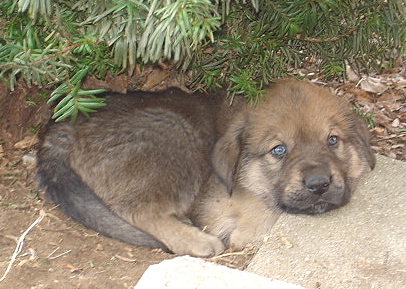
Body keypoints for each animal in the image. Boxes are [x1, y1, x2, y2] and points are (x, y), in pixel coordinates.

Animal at [36, 79, 376, 256]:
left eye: (333, 141)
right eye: (279, 150)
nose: (319, 184)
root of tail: (64, 124)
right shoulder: (223, 202)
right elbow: (266, 213)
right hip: (172, 134)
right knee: (136, 209)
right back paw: (198, 241)